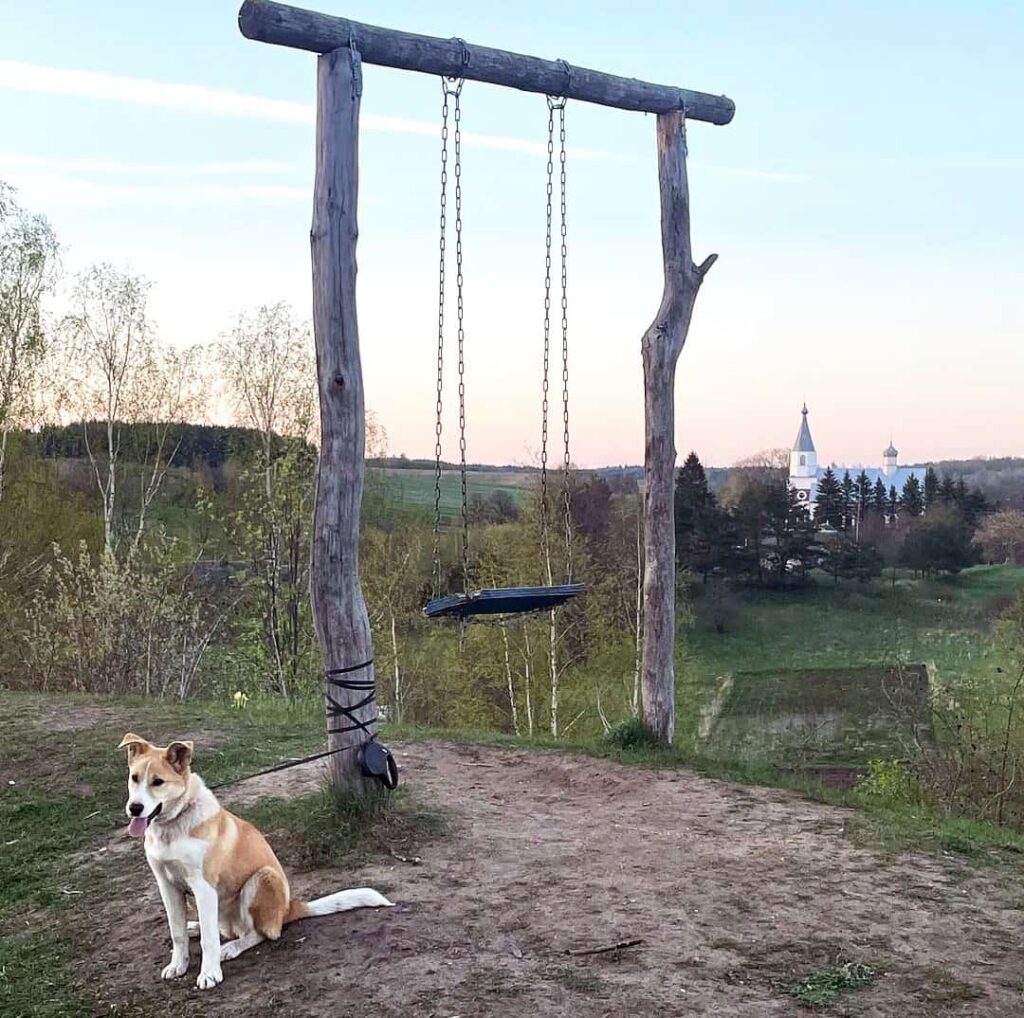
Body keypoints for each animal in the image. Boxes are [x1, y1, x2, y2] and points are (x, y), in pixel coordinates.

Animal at [117, 733, 393, 987]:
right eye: (135, 778)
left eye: (158, 782)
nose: (134, 809)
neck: (174, 824)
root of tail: (289, 908)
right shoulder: (167, 884)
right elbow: (177, 933)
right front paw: (178, 965)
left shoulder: (203, 887)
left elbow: (209, 940)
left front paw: (209, 973)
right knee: (219, 928)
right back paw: (194, 927)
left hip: (261, 878)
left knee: (259, 934)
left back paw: (231, 947)